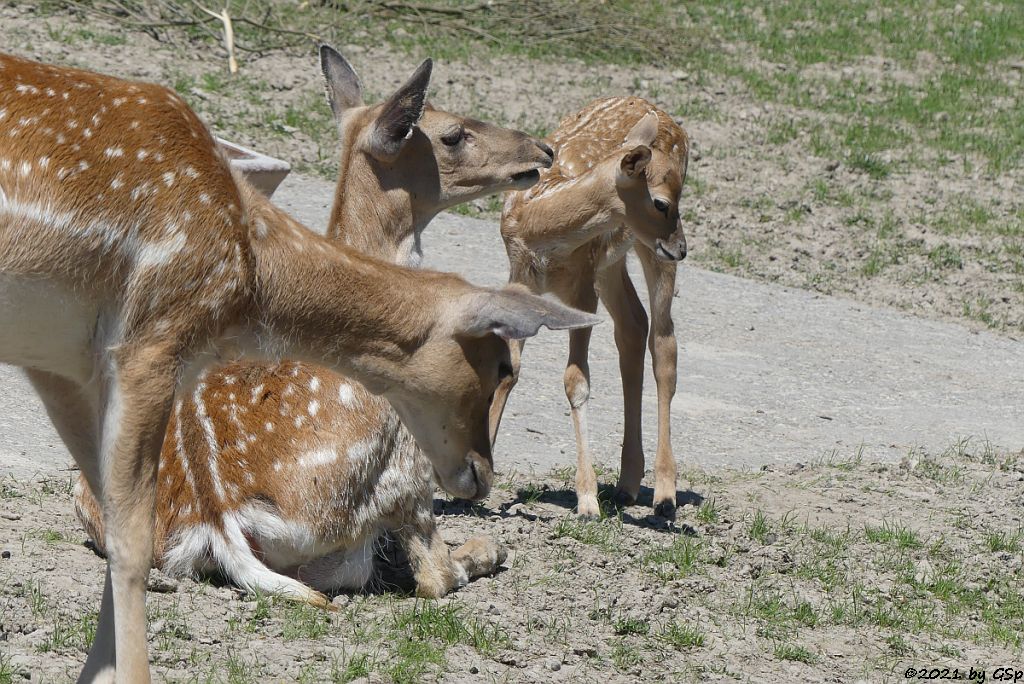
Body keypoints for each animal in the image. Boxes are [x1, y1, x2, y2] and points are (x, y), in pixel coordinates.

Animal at [0, 50, 598, 679]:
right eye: (452, 133)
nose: (543, 151)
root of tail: (218, 517)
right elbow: (433, 572)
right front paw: (490, 546)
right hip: (395, 484)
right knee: (409, 570)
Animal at [487, 96, 688, 518]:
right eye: (660, 202)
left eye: (674, 199)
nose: (683, 248)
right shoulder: (520, 273)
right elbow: (509, 367)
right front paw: (476, 484)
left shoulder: (582, 287)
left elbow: (575, 380)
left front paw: (587, 498)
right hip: (610, 264)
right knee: (633, 325)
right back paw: (628, 484)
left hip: (644, 254)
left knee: (664, 342)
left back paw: (664, 495)